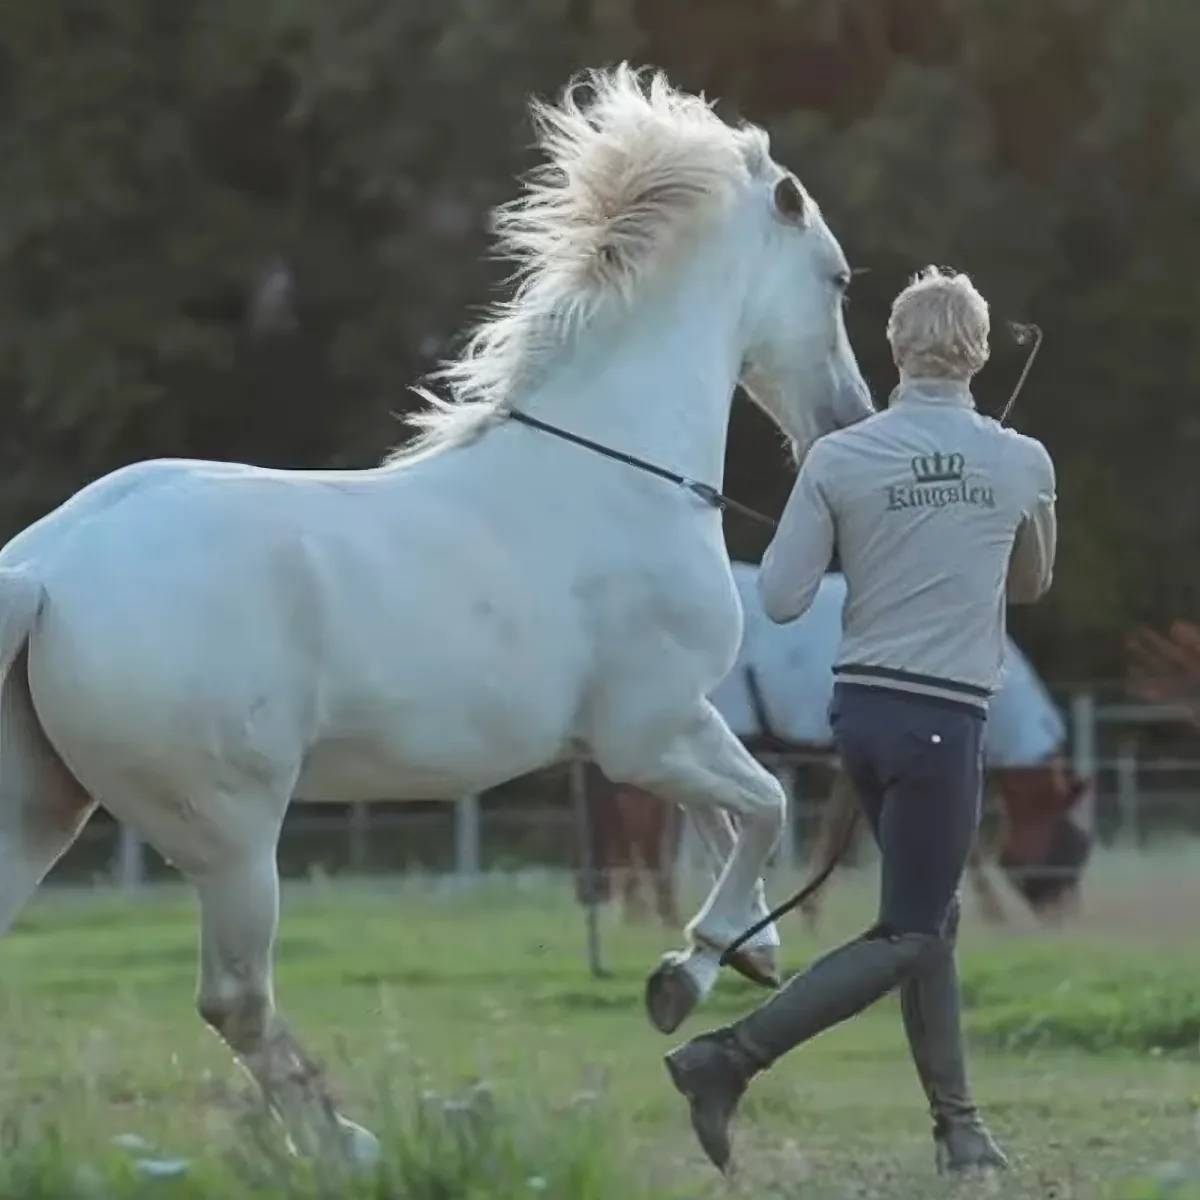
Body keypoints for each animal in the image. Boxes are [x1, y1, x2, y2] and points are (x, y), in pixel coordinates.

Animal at [0, 65, 872, 1164]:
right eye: (836, 277)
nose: (847, 420)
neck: (618, 469)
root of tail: (45, 571)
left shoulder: (662, 729)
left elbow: (726, 819)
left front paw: (752, 949)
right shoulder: (648, 731)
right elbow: (760, 808)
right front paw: (690, 970)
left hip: (38, 808)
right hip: (230, 837)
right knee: (237, 1001)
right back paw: (346, 1146)